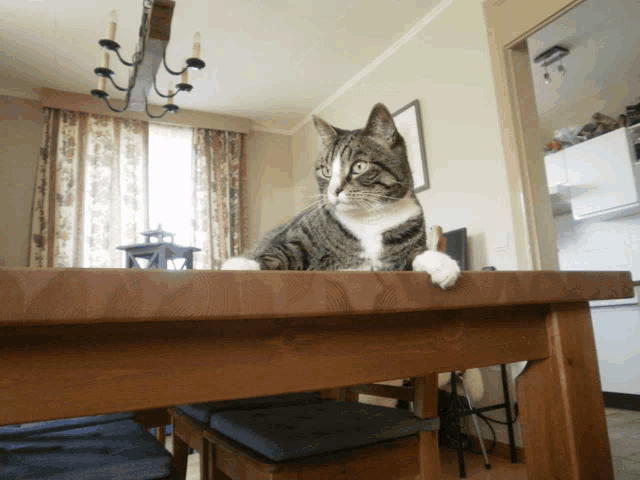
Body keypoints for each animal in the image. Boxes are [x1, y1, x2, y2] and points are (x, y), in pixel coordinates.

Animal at [220, 101, 460, 288]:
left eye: (359, 166)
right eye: (326, 171)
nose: (334, 190)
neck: (368, 221)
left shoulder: (400, 254)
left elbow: (415, 254)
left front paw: (441, 263)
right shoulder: (296, 238)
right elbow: (278, 252)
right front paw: (241, 264)